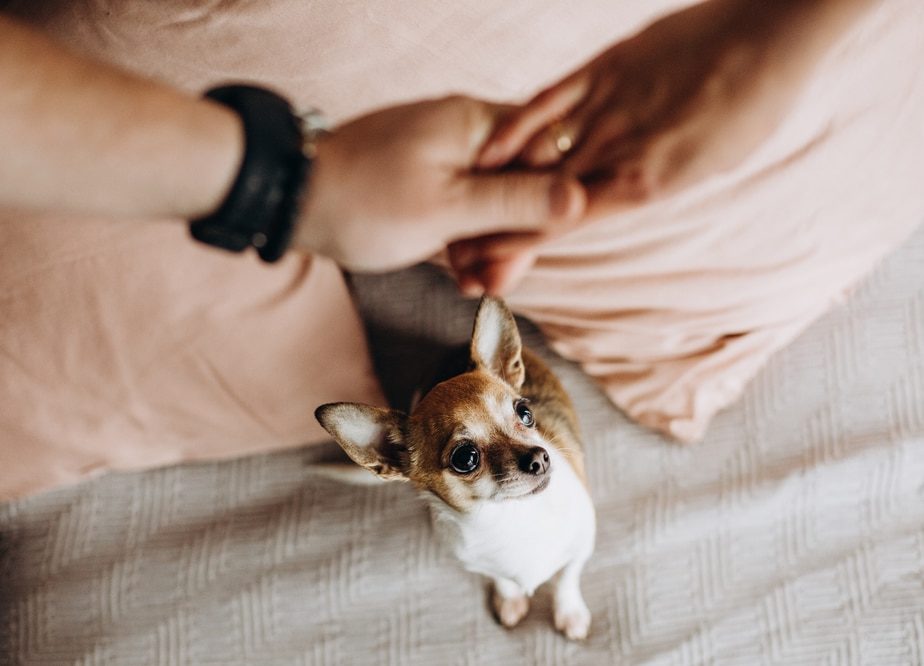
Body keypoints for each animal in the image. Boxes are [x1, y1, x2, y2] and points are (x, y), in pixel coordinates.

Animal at [314, 296, 596, 640]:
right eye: (465, 458)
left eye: (526, 413)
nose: (541, 458)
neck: (512, 516)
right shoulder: (476, 562)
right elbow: (501, 578)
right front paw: (510, 599)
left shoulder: (582, 544)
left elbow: (566, 579)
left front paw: (570, 613)